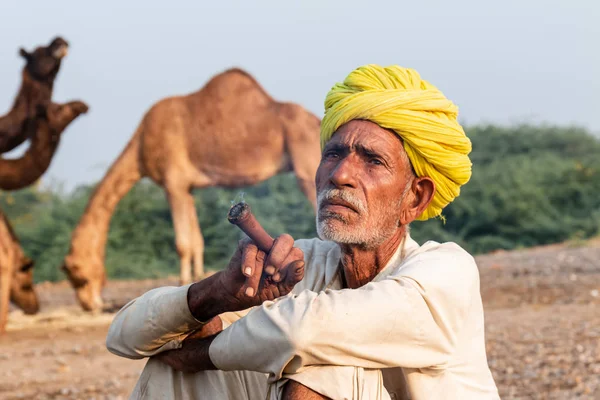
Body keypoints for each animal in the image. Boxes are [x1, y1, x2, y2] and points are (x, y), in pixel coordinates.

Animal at [62, 68, 322, 312]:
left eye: (79, 276)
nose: (89, 305)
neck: (140, 148)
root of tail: (317, 121)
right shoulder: (188, 188)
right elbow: (196, 239)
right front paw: (197, 277)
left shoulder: (173, 182)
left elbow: (182, 243)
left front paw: (182, 280)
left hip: (307, 168)